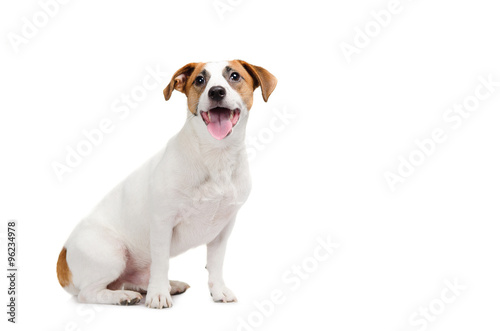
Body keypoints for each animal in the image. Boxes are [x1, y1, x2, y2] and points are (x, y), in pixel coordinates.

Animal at [56, 59, 280, 308]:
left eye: (234, 76)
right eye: (199, 80)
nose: (216, 91)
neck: (215, 155)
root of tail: (63, 258)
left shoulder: (223, 229)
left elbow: (215, 263)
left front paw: (218, 290)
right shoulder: (163, 223)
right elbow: (162, 261)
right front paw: (159, 295)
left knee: (131, 280)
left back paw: (166, 286)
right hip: (112, 253)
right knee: (88, 293)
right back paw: (123, 296)